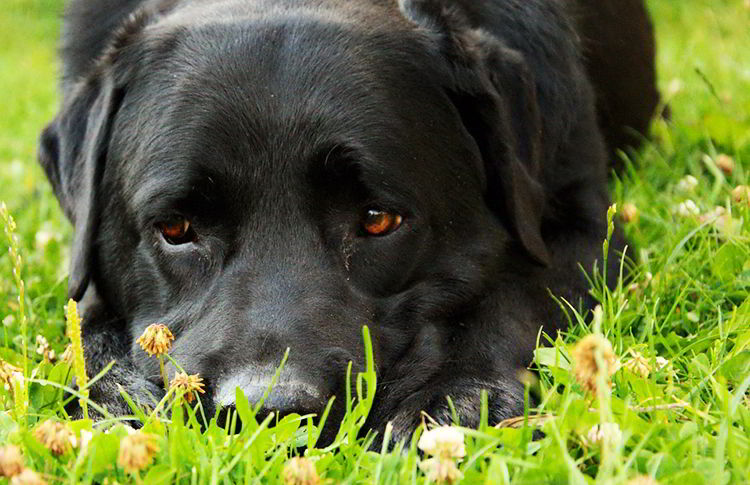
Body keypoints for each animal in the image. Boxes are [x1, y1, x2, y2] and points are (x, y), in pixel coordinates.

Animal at [39, 0, 656, 442]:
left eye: (378, 220)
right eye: (175, 230)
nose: (271, 410)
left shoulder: (583, 227)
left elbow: (513, 298)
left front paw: (452, 399)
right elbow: (85, 325)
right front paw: (115, 397)